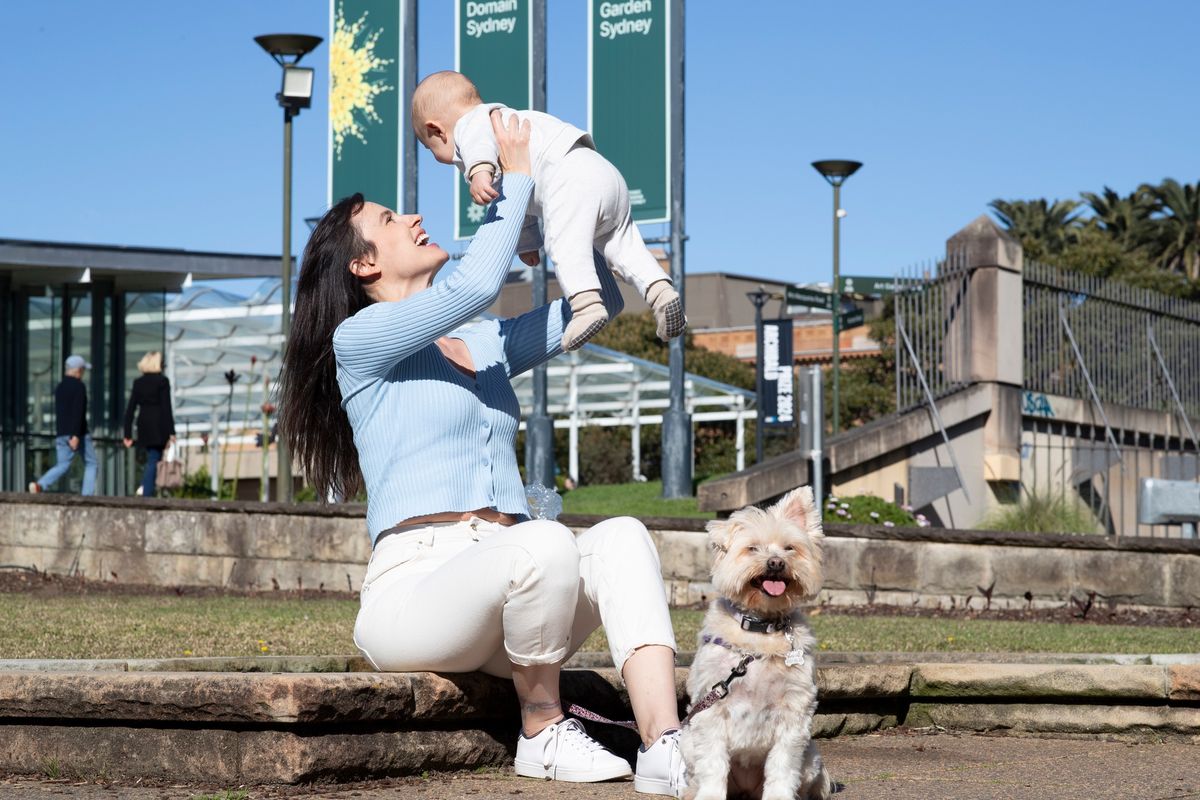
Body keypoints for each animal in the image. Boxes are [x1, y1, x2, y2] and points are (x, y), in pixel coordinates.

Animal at [681, 489, 830, 800]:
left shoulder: (794, 713)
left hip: (811, 755)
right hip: (687, 741)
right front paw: (710, 795)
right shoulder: (711, 709)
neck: (761, 629)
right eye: (752, 548)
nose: (776, 563)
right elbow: (712, 762)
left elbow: (783, 764)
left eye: (789, 548)